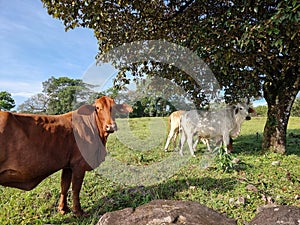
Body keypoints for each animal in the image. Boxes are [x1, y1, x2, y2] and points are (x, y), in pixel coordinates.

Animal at [0, 96, 132, 216]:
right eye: (98, 108)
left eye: (114, 107)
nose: (111, 126)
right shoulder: (79, 164)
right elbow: (76, 188)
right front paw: (78, 211)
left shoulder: (67, 165)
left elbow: (64, 186)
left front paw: (63, 208)